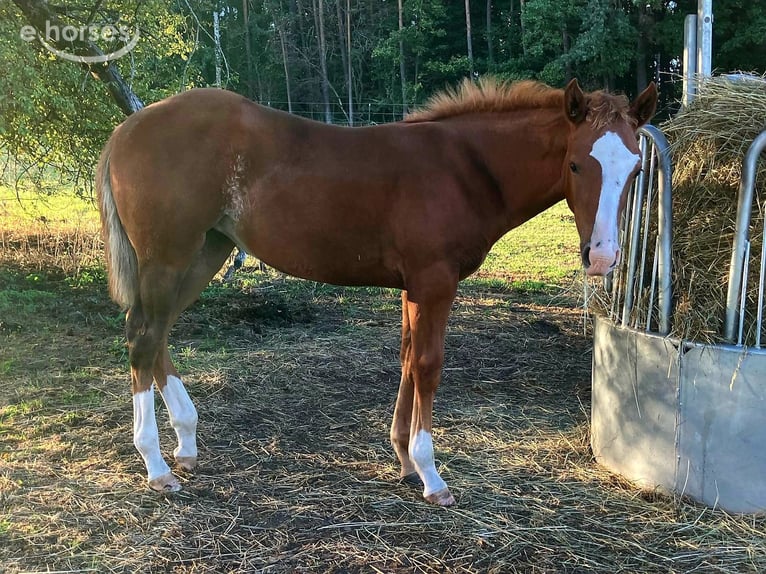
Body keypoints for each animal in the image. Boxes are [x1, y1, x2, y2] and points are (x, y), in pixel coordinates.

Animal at [97, 77, 657, 506]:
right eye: (577, 163)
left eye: (635, 168)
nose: (602, 257)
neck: (463, 169)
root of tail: (125, 129)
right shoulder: (434, 282)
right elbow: (428, 365)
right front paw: (431, 476)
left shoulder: (413, 287)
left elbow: (408, 358)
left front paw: (405, 459)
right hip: (168, 255)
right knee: (142, 338)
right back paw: (155, 465)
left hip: (205, 252)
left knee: (155, 332)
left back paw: (186, 443)